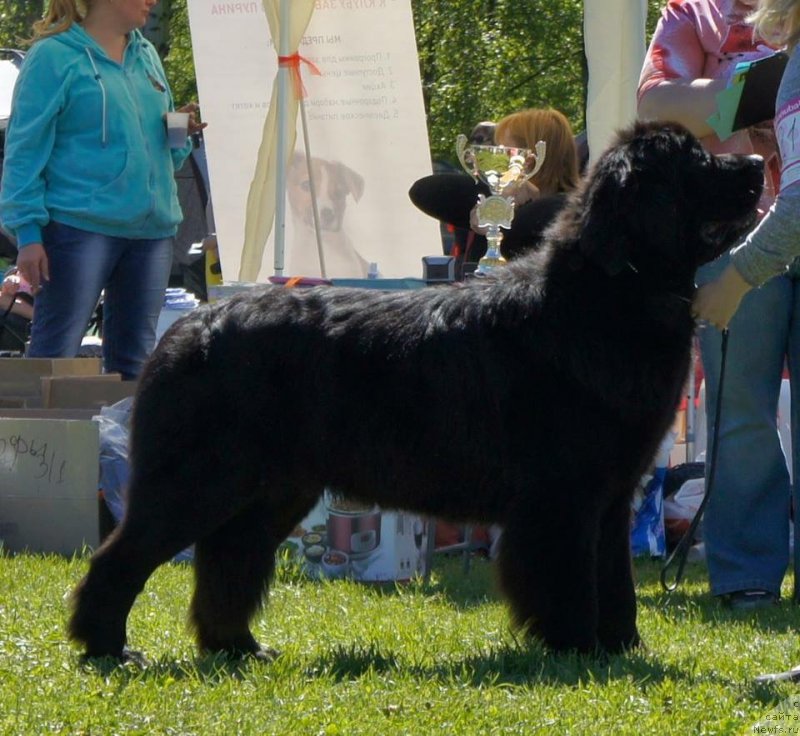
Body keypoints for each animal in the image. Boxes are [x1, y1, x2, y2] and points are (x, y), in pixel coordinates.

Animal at [70, 122, 764, 660]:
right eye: (697, 163)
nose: (759, 162)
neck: (607, 294)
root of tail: (189, 326)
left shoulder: (612, 494)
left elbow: (613, 578)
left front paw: (621, 648)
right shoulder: (562, 495)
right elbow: (568, 576)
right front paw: (575, 647)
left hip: (271, 489)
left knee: (228, 559)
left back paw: (238, 647)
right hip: (201, 478)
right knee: (123, 555)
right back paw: (108, 647)